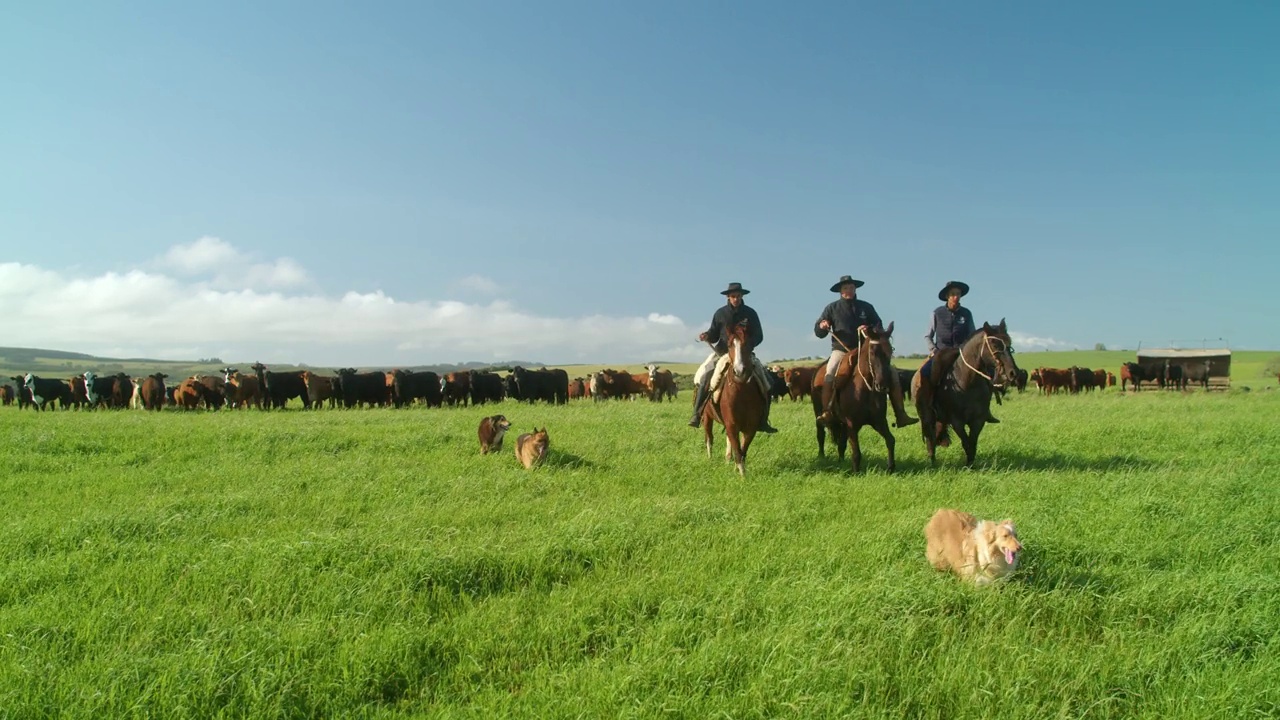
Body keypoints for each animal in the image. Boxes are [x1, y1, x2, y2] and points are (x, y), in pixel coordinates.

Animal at [706, 320, 762, 476]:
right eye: (730, 345)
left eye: (748, 344)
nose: (740, 372)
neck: (741, 391)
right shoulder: (731, 425)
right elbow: (737, 448)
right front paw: (742, 474)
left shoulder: (750, 427)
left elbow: (742, 449)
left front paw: (738, 469)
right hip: (706, 417)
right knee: (709, 437)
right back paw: (710, 458)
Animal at [829, 320, 901, 471]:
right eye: (873, 352)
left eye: (890, 351)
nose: (882, 385)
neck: (864, 391)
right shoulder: (851, 424)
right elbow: (856, 452)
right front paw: (856, 471)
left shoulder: (879, 421)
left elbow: (890, 440)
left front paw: (891, 467)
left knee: (841, 444)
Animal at [916, 317, 1013, 466]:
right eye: (994, 344)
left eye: (1009, 343)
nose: (1012, 372)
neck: (967, 383)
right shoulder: (957, 422)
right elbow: (966, 443)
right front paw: (968, 465)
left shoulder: (978, 421)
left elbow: (972, 444)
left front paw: (970, 464)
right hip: (927, 418)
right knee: (929, 439)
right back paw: (932, 462)